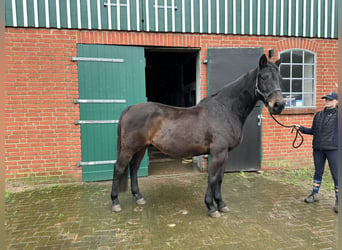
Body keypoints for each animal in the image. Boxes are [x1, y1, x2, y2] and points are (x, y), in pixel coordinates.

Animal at [111, 54, 284, 217]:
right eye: (264, 77)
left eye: (280, 78)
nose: (279, 105)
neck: (225, 110)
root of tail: (130, 108)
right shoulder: (218, 153)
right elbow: (212, 178)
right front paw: (211, 207)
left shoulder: (225, 153)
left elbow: (220, 178)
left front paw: (221, 204)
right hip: (129, 147)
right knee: (119, 168)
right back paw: (115, 202)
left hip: (142, 147)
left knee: (134, 168)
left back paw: (138, 197)